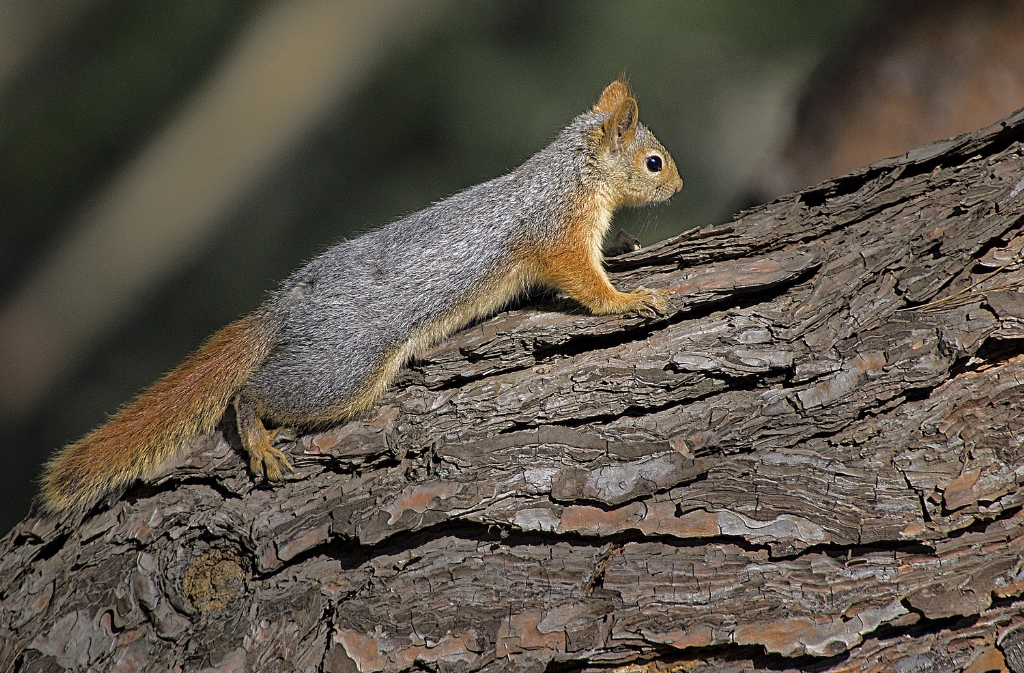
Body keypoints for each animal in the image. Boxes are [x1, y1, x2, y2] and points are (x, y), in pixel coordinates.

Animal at [39, 78, 684, 512]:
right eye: (653, 162)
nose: (679, 186)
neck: (574, 176)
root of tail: (285, 306)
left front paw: (624, 243)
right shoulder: (559, 237)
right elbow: (587, 287)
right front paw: (633, 299)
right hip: (343, 370)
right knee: (253, 391)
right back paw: (258, 438)